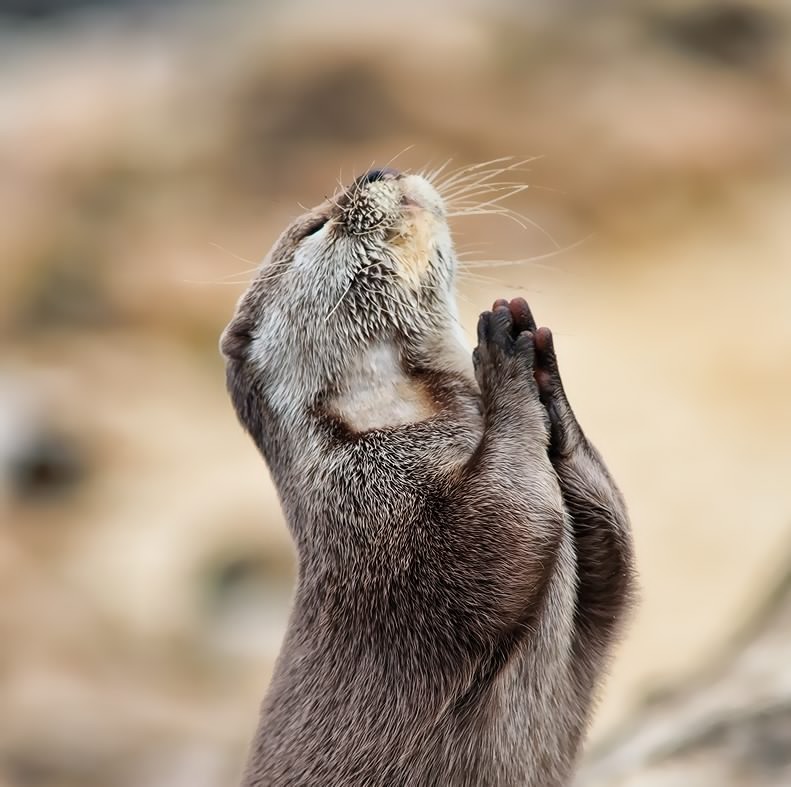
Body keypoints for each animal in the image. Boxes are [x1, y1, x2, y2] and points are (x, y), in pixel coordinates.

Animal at [221, 168, 636, 787]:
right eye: (316, 226)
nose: (376, 172)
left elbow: (615, 557)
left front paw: (545, 377)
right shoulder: (378, 515)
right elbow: (508, 524)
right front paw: (502, 359)